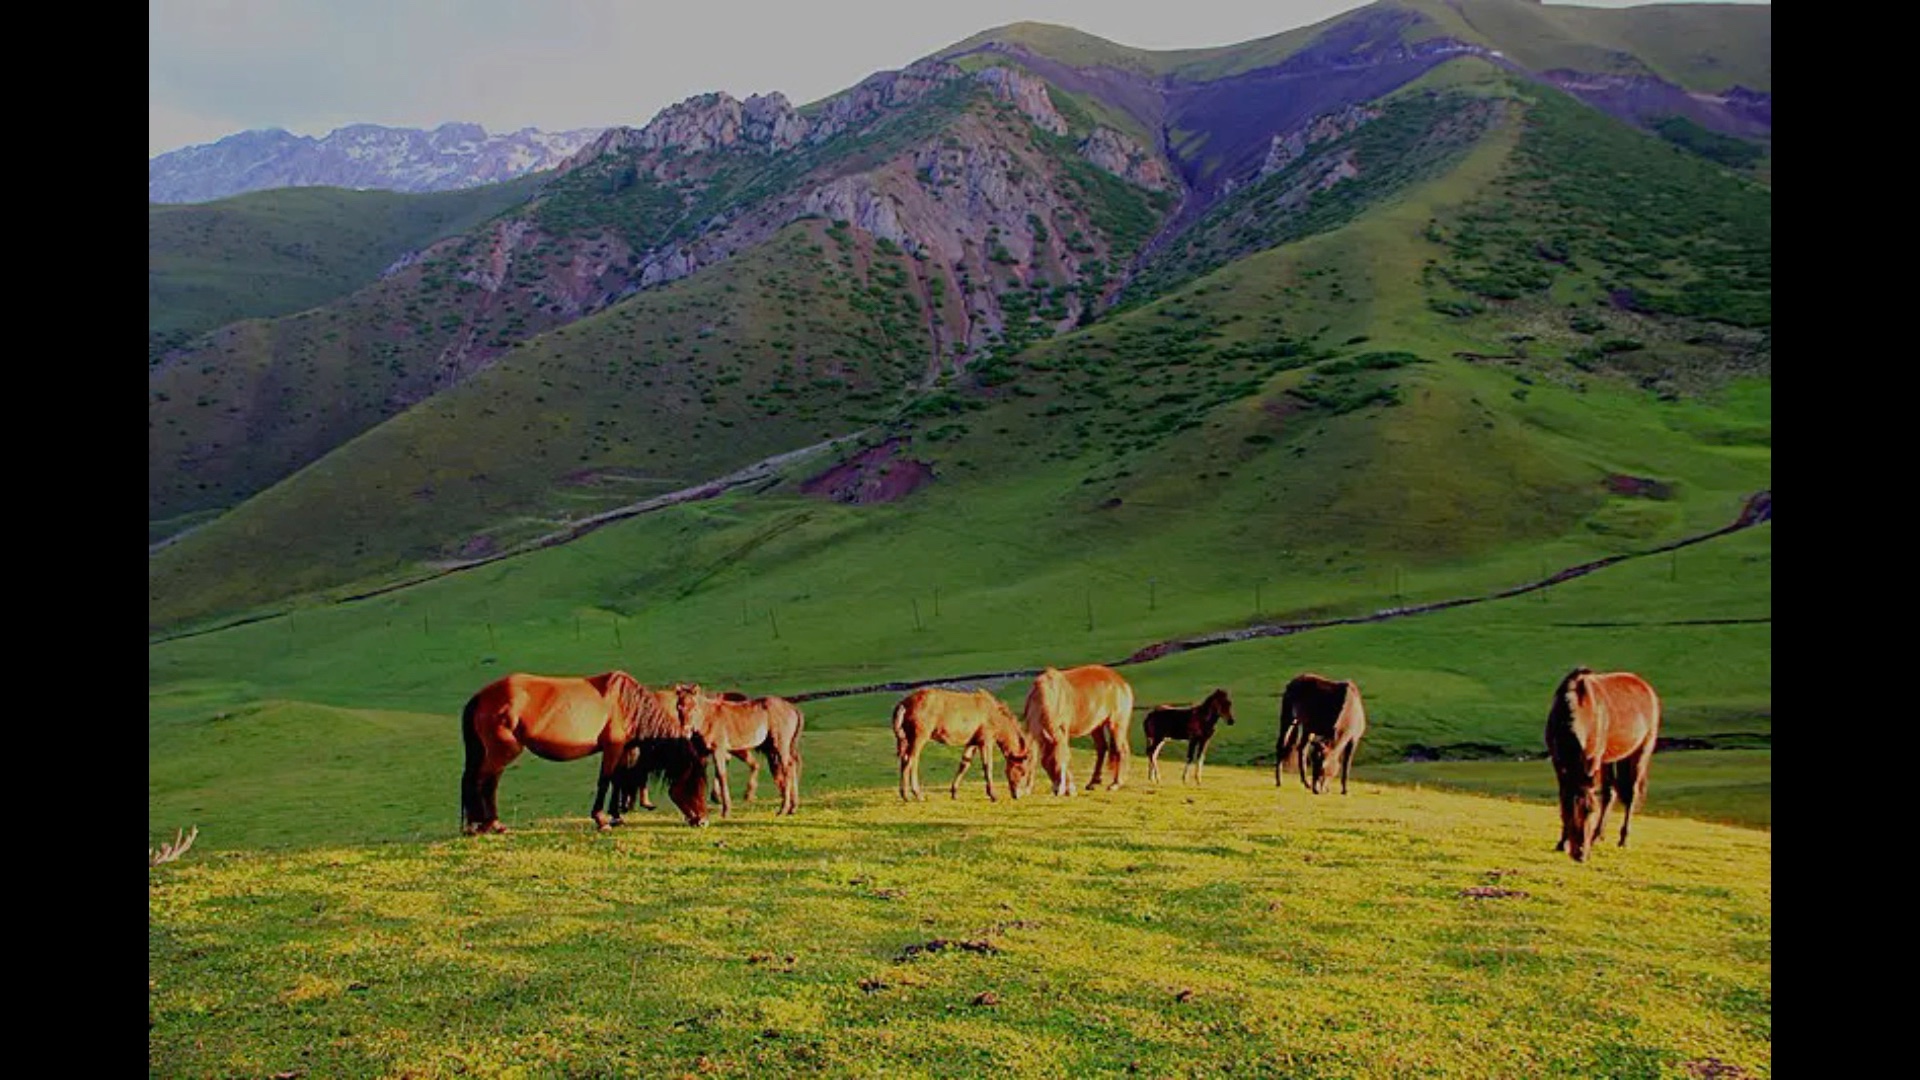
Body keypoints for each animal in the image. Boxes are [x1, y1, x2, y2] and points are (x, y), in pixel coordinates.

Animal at [458, 664, 714, 834]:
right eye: (694, 784)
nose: (703, 821)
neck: (627, 703)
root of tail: (481, 696)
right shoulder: (612, 748)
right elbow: (605, 781)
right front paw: (601, 819)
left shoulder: (622, 750)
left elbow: (618, 781)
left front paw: (616, 817)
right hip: (502, 752)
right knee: (481, 782)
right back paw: (485, 824)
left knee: (482, 782)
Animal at [675, 680, 802, 814]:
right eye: (679, 707)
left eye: (694, 707)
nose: (686, 730)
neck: (708, 718)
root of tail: (793, 709)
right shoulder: (702, 752)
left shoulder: (719, 749)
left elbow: (721, 774)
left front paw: (726, 809)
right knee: (792, 765)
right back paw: (793, 807)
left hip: (780, 744)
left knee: (786, 769)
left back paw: (783, 808)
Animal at [887, 684, 1029, 795]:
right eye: (1022, 772)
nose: (1018, 795)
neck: (994, 716)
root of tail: (902, 704)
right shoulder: (986, 741)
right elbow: (988, 766)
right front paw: (992, 794)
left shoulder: (973, 742)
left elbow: (964, 764)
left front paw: (954, 791)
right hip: (919, 737)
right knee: (911, 760)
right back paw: (916, 793)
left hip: (905, 739)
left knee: (904, 760)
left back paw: (904, 793)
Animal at [1029, 661, 1128, 795]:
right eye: (1048, 764)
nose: (1058, 790)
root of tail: (1120, 681)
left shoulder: (1062, 732)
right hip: (1097, 727)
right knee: (1102, 748)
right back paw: (1093, 782)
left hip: (1117, 724)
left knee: (1120, 750)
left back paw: (1116, 783)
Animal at [1543, 664, 1666, 857]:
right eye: (1572, 812)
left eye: (1591, 811)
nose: (1581, 853)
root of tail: (1646, 687)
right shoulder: (1559, 762)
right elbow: (1564, 796)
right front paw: (1562, 842)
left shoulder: (1593, 760)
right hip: (1610, 759)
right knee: (1611, 793)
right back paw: (1597, 837)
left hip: (1641, 752)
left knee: (1630, 794)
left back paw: (1622, 840)